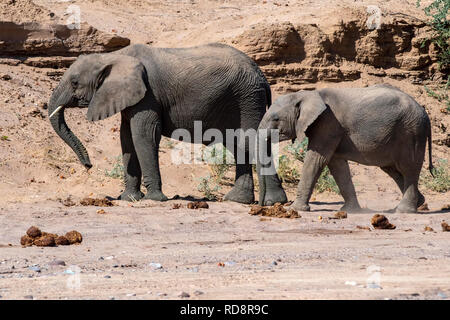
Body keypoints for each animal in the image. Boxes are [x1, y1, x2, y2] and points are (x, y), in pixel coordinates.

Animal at [48, 42, 288, 204]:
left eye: (74, 82)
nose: (88, 166)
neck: (113, 57)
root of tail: (263, 78)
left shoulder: (148, 95)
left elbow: (143, 135)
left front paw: (153, 199)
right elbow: (126, 139)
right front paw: (128, 199)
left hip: (247, 98)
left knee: (250, 142)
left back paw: (273, 203)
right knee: (239, 146)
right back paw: (237, 200)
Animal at [258, 84, 434, 212]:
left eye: (276, 118)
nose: (261, 205)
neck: (308, 94)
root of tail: (424, 112)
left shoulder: (328, 124)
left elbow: (316, 160)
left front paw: (295, 209)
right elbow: (337, 165)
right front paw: (350, 210)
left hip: (411, 133)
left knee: (408, 169)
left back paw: (404, 210)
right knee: (393, 170)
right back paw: (417, 203)